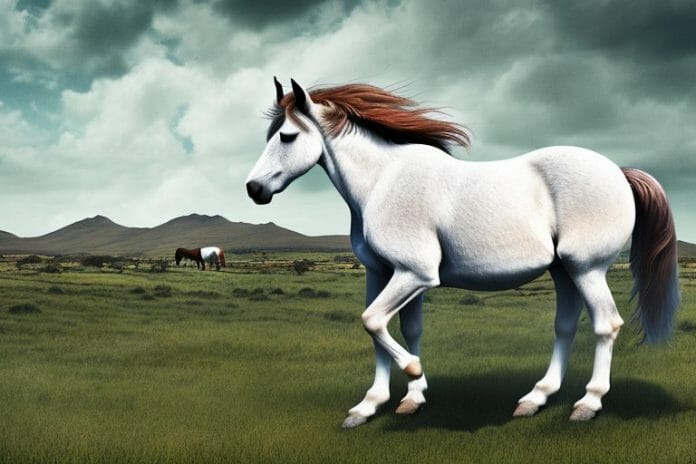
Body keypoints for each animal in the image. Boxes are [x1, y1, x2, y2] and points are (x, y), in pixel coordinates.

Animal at [245, 78, 680, 428]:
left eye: (287, 136)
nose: (253, 189)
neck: (383, 182)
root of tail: (619, 172)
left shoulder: (414, 273)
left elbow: (372, 322)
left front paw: (412, 373)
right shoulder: (381, 273)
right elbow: (397, 329)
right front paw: (382, 404)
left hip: (587, 268)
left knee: (606, 325)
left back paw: (587, 404)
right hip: (563, 271)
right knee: (565, 326)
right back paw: (535, 399)